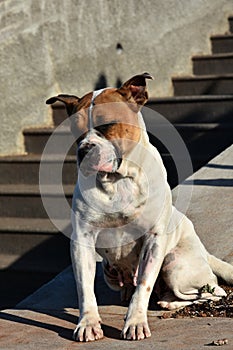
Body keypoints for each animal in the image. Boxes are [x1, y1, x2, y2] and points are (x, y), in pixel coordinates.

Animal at [46, 72, 233, 340]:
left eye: (106, 124)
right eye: (75, 130)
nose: (84, 150)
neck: (118, 181)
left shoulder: (153, 240)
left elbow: (143, 285)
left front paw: (135, 322)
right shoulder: (83, 239)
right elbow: (85, 289)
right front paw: (88, 323)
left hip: (175, 265)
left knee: (211, 292)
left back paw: (169, 302)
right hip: (108, 272)